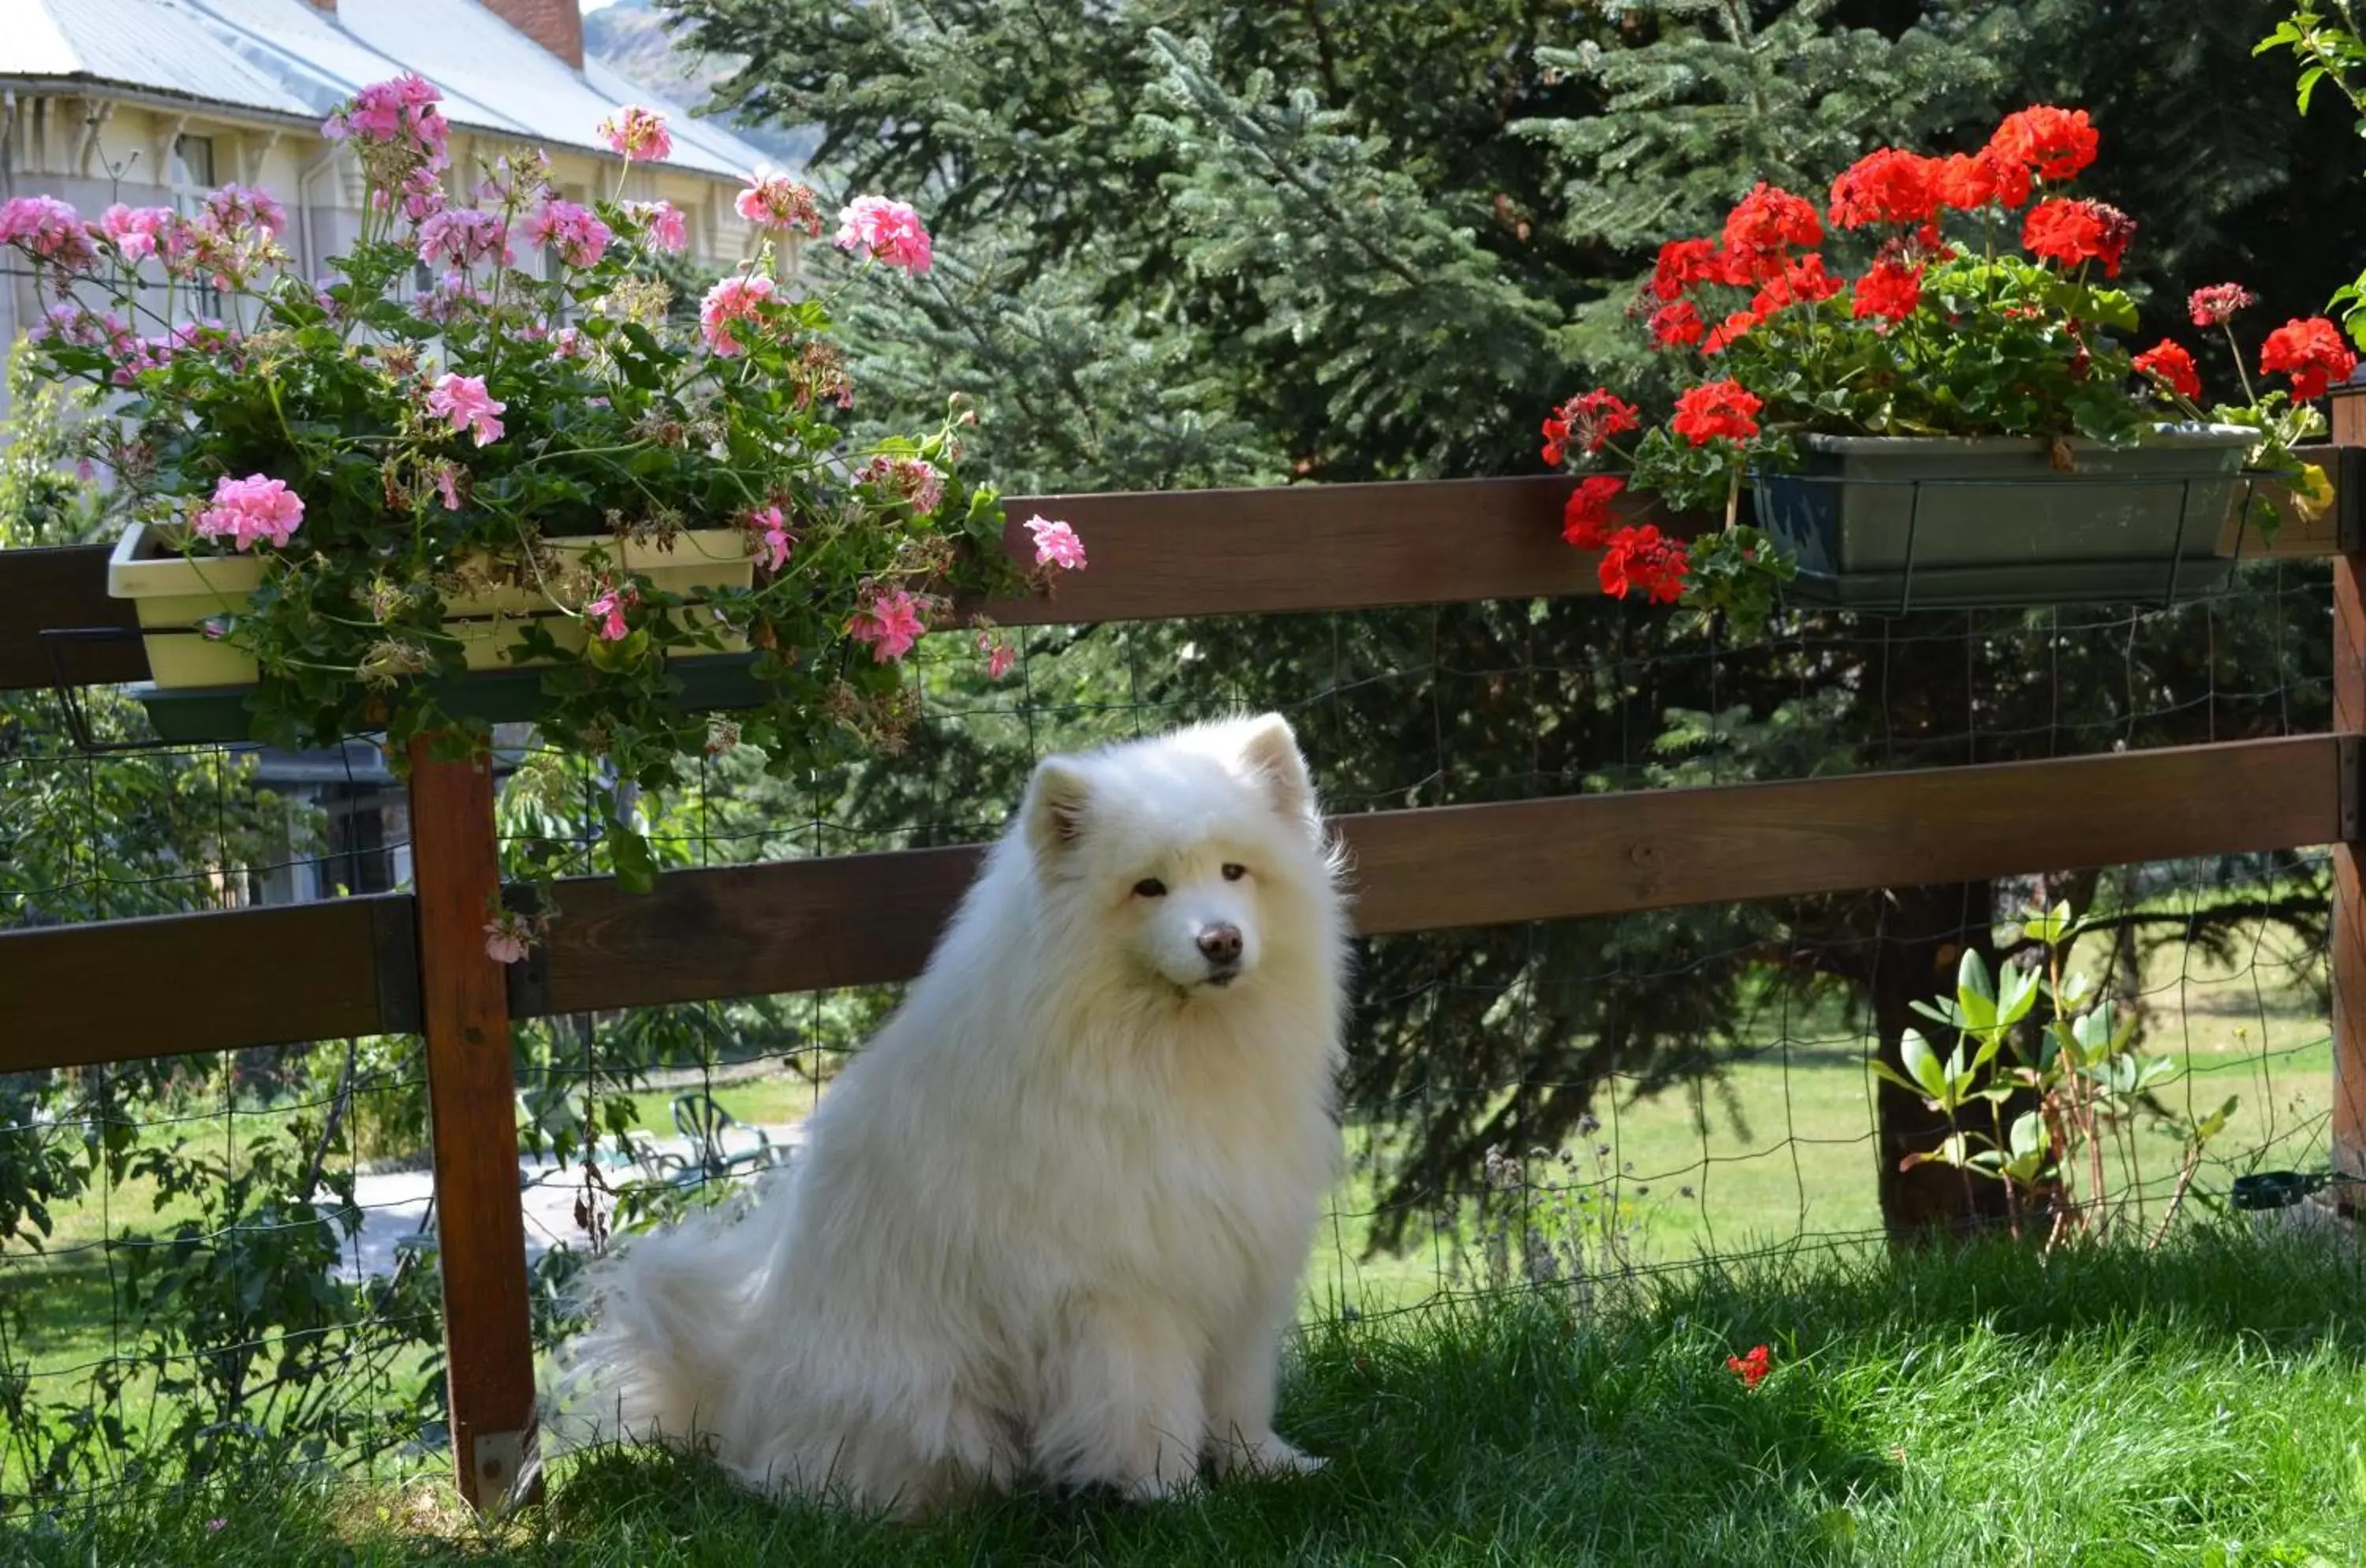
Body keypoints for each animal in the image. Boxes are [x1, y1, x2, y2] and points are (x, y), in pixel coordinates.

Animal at [565, 719, 1353, 1514]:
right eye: (1148, 887)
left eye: (1234, 871)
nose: (1221, 941)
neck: (1170, 1050)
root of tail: (732, 1410)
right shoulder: (1126, 1292)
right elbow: (1151, 1408)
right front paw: (1172, 1498)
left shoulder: (1239, 1263)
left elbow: (1238, 1396)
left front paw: (1267, 1469)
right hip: (927, 1400)